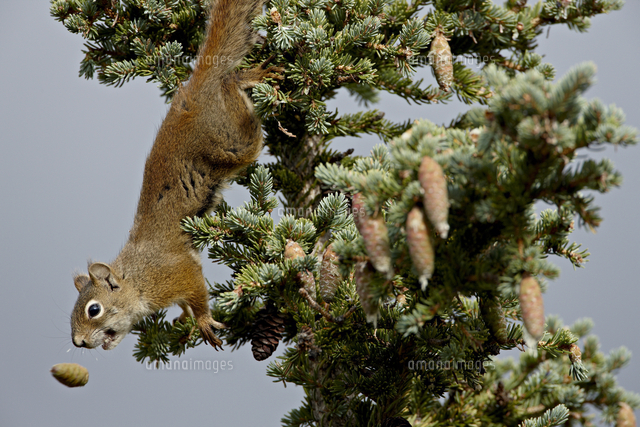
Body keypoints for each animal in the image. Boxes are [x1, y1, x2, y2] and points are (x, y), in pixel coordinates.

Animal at [70, 0, 281, 351]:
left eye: (94, 310)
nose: (78, 343)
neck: (137, 280)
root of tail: (194, 92)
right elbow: (185, 302)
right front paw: (184, 318)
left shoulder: (176, 273)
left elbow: (196, 291)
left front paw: (203, 320)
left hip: (233, 141)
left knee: (230, 87)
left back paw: (246, 77)